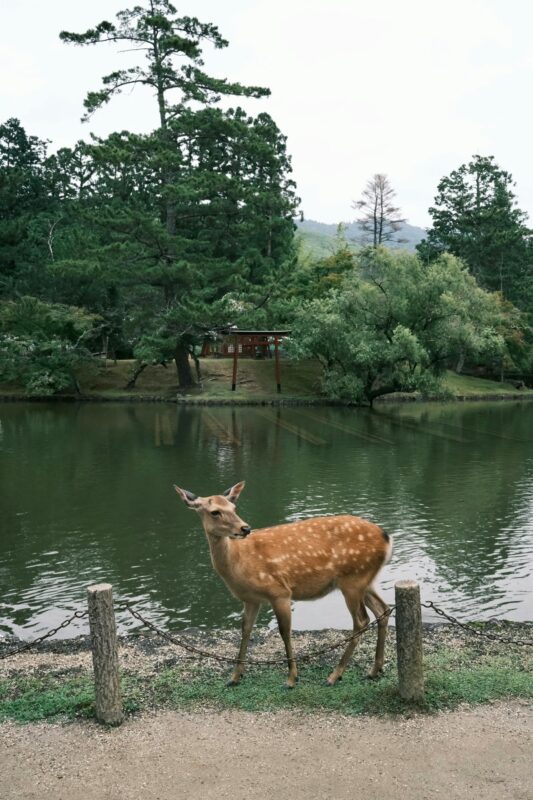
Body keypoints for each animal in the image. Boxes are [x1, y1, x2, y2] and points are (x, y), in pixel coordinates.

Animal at [175, 482, 390, 688]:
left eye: (234, 507)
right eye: (215, 512)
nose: (245, 528)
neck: (239, 563)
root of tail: (387, 539)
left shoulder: (279, 592)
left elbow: (285, 632)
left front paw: (291, 679)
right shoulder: (250, 599)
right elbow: (245, 631)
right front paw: (234, 677)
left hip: (353, 580)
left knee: (361, 620)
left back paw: (334, 675)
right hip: (364, 581)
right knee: (383, 610)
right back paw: (374, 670)